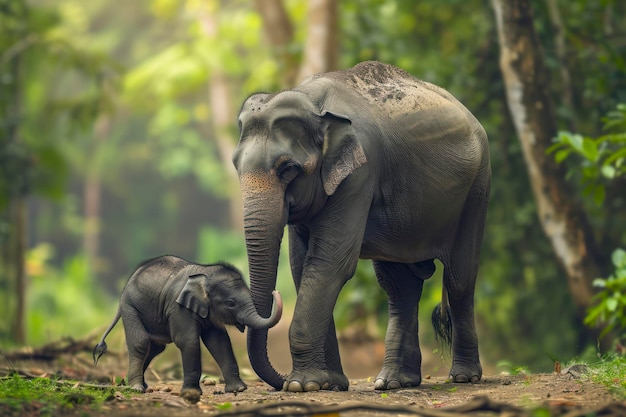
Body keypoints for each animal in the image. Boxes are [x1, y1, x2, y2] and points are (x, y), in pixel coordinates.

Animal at [91, 255, 282, 402]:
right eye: (231, 303)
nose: (276, 292)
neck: (205, 274)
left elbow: (220, 341)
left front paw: (239, 389)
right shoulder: (177, 308)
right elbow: (188, 341)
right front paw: (191, 393)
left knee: (155, 348)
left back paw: (140, 385)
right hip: (130, 307)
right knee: (141, 343)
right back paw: (136, 388)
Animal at [232, 60, 490, 392]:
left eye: (288, 169)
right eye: (236, 165)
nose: (281, 380)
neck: (313, 103)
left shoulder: (359, 175)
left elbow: (328, 263)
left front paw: (303, 385)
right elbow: (302, 266)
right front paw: (330, 384)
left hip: (477, 188)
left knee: (459, 279)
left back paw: (463, 377)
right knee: (399, 285)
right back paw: (395, 382)